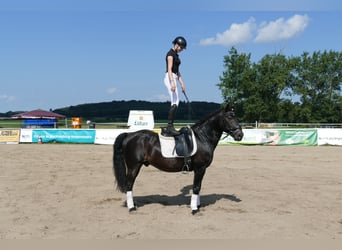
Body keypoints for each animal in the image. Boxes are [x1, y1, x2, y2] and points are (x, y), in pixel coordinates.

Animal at [113, 106, 244, 214]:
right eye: (229, 117)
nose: (240, 135)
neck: (202, 138)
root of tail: (129, 135)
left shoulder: (200, 170)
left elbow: (198, 186)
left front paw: (198, 205)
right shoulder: (200, 168)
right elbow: (196, 187)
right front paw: (194, 209)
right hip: (134, 166)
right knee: (129, 185)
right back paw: (131, 208)